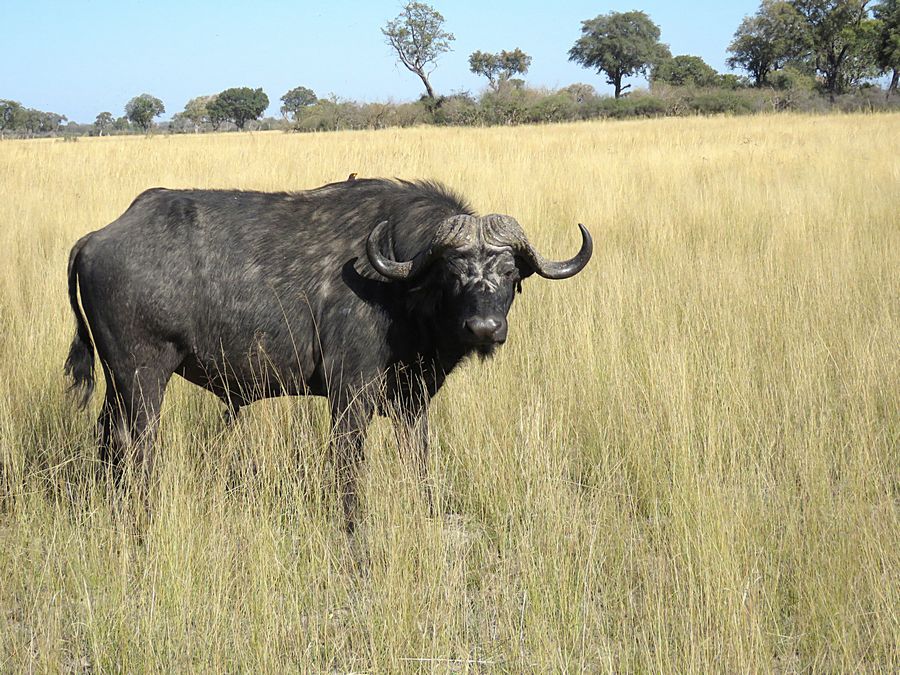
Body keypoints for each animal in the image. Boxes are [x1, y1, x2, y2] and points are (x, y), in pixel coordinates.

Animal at [67, 178, 596, 528]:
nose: (484, 329)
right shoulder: (349, 396)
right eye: (452, 271)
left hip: (117, 384)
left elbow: (420, 463)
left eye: (510, 273)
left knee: (107, 442)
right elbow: (348, 469)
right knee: (135, 447)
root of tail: (97, 237)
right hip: (143, 378)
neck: (400, 288)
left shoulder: (412, 400)